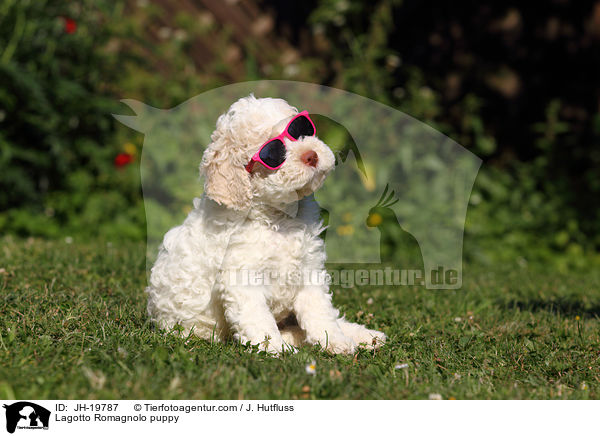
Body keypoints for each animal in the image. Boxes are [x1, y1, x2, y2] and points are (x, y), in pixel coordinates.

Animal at [148, 94, 386, 354]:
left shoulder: (308, 269)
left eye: (299, 129)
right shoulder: (242, 278)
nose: (311, 155)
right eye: (272, 154)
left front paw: (335, 341)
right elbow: (258, 319)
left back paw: (366, 336)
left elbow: (320, 311)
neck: (279, 218)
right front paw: (276, 348)